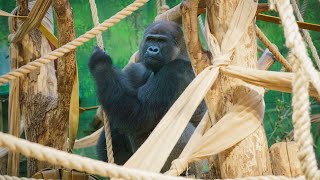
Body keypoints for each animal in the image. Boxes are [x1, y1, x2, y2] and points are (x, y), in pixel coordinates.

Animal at [89, 20, 206, 172]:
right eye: (150, 39)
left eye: (162, 41)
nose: (152, 49)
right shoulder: (137, 69)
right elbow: (120, 104)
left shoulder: (176, 72)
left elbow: (139, 113)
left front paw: (101, 64)